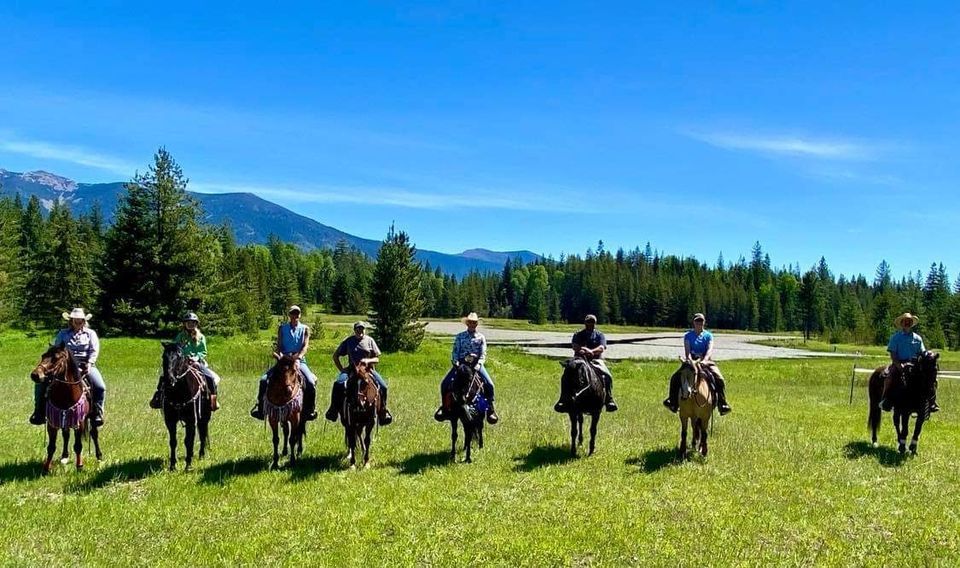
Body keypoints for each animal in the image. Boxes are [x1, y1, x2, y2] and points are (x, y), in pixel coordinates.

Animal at [30, 346, 102, 474]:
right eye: (43, 356)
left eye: (56, 358)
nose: (35, 375)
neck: (66, 393)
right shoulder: (53, 421)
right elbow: (51, 446)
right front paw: (46, 468)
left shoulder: (79, 421)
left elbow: (78, 445)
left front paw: (79, 466)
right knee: (66, 434)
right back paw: (64, 456)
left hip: (92, 416)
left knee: (94, 433)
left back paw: (99, 457)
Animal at [160, 344, 211, 472]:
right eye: (164, 356)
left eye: (179, 356)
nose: (169, 379)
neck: (179, 393)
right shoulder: (170, 421)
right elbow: (173, 441)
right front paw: (172, 466)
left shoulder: (191, 420)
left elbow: (188, 441)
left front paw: (188, 466)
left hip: (204, 418)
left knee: (202, 434)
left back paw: (201, 455)